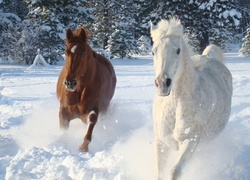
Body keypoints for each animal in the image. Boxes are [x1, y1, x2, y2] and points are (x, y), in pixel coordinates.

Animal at [150, 17, 232, 180]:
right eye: (153, 51)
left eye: (178, 50)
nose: (162, 83)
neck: (175, 104)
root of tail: (210, 57)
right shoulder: (161, 142)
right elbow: (158, 172)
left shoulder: (190, 141)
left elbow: (174, 171)